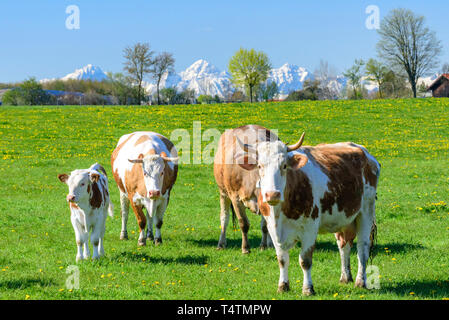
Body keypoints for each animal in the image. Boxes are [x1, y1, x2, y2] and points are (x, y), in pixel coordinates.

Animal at [212, 124, 278, 252]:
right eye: (260, 165)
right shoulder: (235, 198)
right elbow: (243, 223)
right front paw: (245, 248)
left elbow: (265, 225)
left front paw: (264, 245)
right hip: (223, 192)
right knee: (224, 218)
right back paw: (221, 244)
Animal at [236, 135, 380, 296]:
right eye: (260, 166)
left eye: (284, 166)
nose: (272, 194)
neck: (280, 214)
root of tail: (363, 151)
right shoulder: (272, 228)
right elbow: (282, 259)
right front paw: (283, 286)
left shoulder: (310, 228)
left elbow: (305, 260)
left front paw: (308, 288)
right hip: (343, 218)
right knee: (344, 245)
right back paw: (345, 278)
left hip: (366, 212)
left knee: (362, 248)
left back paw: (360, 281)